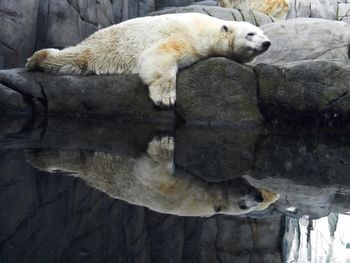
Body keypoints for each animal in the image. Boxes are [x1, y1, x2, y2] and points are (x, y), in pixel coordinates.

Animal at [26, 12, 272, 107]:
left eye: (263, 33)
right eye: (251, 34)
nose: (267, 43)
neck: (208, 30)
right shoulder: (187, 38)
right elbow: (159, 55)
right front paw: (166, 99)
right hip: (103, 47)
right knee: (76, 57)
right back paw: (36, 59)